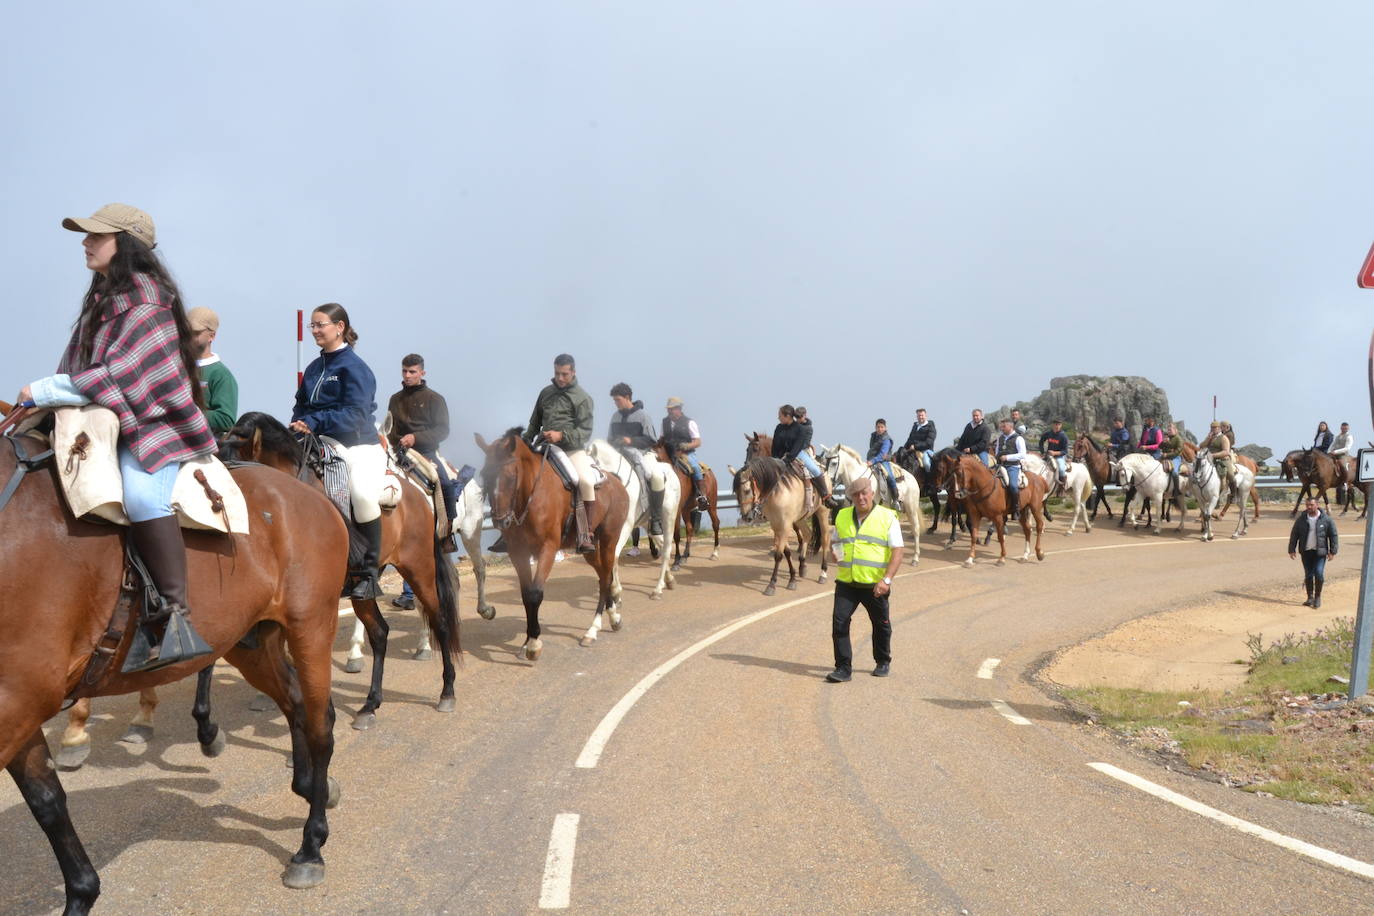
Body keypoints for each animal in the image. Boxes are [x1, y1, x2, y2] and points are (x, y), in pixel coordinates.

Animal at [1, 403, 343, 911]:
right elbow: (48, 801)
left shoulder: (18, 701)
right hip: (252, 642)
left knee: (320, 726)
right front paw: (82, 893)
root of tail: (308, 496)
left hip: (312, 625)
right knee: (297, 703)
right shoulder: (20, 706)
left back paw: (311, 846)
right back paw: (307, 789)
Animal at [475, 431, 629, 659]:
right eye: (485, 474)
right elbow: (525, 594)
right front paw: (527, 641)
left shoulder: (547, 549)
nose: (500, 521)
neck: (531, 496)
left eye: (511, 476)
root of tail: (615, 481)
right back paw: (612, 618)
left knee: (606, 577)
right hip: (590, 549)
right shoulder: (518, 552)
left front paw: (533, 644)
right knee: (603, 575)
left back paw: (593, 629)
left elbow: (535, 593)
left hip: (610, 539)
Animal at [585, 439, 681, 601]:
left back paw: (657, 590)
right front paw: (612, 591)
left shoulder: (625, 527)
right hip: (647, 523)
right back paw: (669, 580)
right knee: (662, 545)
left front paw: (615, 591)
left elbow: (613, 555)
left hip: (669, 517)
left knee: (667, 548)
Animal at [730, 455, 824, 596]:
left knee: (825, 540)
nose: (746, 517)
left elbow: (779, 555)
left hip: (822, 512)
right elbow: (787, 552)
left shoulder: (785, 526)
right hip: (800, 518)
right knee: (807, 534)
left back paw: (823, 573)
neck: (776, 493)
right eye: (735, 492)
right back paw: (802, 566)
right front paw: (792, 578)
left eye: (746, 491)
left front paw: (772, 584)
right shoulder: (776, 526)